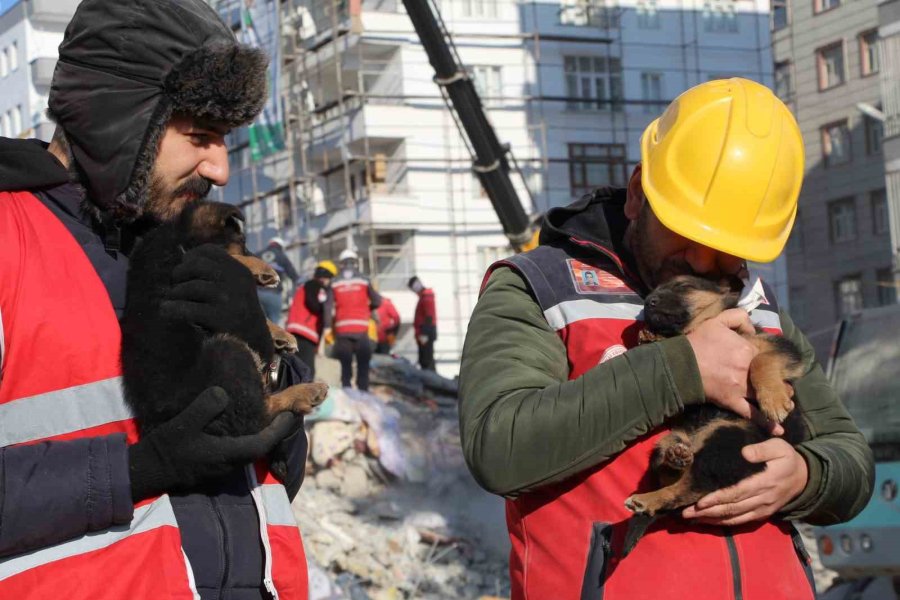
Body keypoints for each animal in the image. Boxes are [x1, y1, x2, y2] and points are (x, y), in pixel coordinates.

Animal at [121, 204, 326, 466]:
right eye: (242, 241)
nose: (261, 256)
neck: (175, 237)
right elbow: (234, 260)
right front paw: (261, 267)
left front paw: (280, 335)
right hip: (229, 352)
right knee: (259, 415)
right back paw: (307, 392)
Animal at [624, 276, 804, 556]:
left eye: (683, 286)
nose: (648, 302)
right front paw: (651, 335)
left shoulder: (777, 346)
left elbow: (761, 360)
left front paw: (774, 400)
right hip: (673, 439)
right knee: (681, 484)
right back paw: (660, 480)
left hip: (727, 436)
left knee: (692, 486)